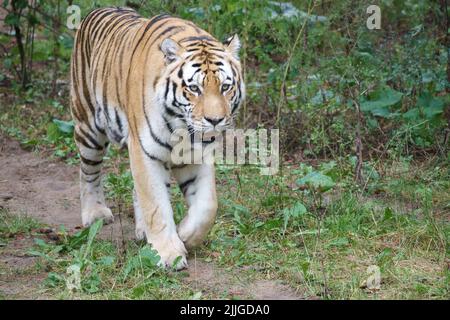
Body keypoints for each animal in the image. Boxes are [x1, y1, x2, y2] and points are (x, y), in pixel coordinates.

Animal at [70, 6, 244, 268]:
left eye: (225, 87)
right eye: (194, 89)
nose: (215, 120)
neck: (181, 126)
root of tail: (99, 9)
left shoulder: (196, 155)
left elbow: (207, 205)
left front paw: (185, 235)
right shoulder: (145, 150)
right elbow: (155, 205)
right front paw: (169, 253)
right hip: (89, 127)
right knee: (88, 171)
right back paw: (95, 213)